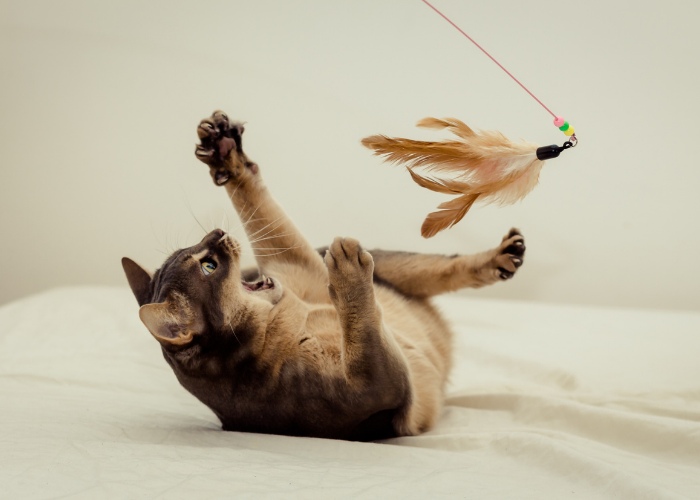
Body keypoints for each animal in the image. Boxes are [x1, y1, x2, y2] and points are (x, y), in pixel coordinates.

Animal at [121, 110, 524, 442]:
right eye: (209, 266)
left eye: (197, 252)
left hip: (389, 267)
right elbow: (363, 333)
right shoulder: (384, 387)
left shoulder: (295, 266)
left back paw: (504, 256)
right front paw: (347, 270)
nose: (217, 234)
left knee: (443, 267)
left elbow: (258, 204)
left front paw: (225, 152)